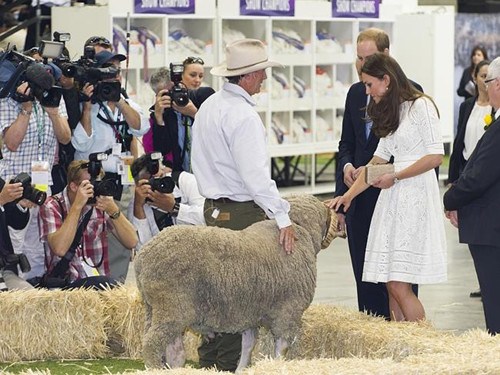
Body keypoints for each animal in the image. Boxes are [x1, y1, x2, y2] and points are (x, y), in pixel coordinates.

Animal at [133, 195, 344, 372]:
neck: (302, 231)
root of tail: (142, 257)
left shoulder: (249, 314)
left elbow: (248, 346)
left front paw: (242, 369)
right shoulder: (288, 311)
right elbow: (281, 348)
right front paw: (277, 366)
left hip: (154, 308)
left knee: (172, 348)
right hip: (172, 307)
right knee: (151, 343)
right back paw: (155, 368)